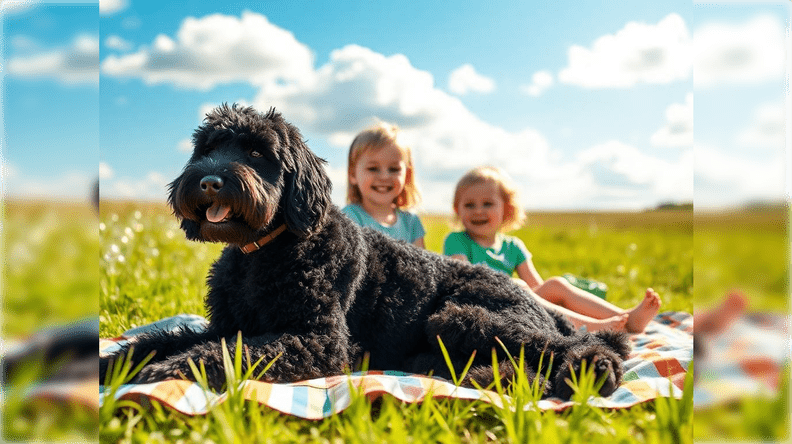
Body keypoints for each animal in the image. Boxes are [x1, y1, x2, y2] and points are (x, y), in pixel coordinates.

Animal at [99, 104, 632, 398]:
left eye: (256, 152)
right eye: (207, 148)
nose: (209, 180)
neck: (263, 252)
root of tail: (540, 305)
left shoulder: (317, 339)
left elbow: (226, 353)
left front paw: (165, 373)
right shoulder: (227, 324)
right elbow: (162, 339)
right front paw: (112, 364)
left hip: (461, 316)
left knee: (579, 346)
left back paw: (590, 373)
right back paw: (486, 378)